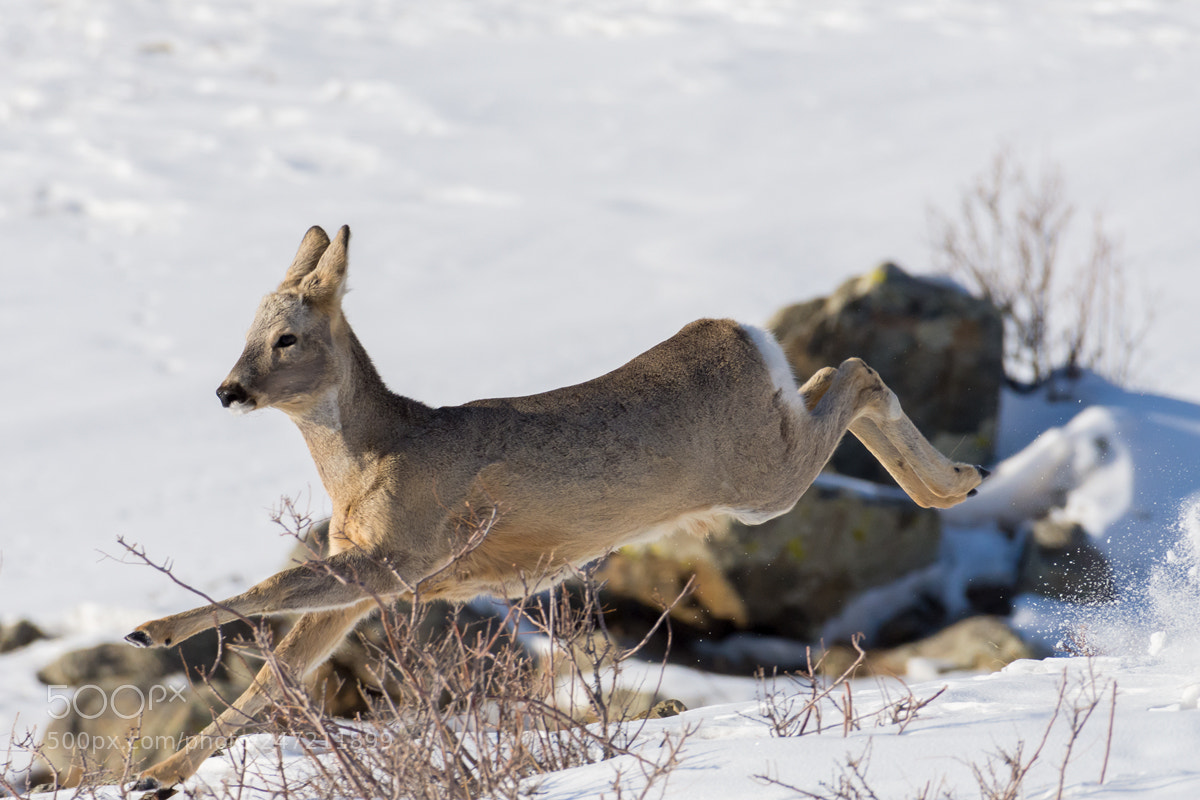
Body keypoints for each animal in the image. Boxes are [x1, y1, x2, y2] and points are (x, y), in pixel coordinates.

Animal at [124, 224, 987, 789]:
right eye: (248, 328)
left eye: (288, 338)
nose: (228, 390)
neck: (371, 458)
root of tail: (739, 332)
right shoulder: (374, 583)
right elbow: (272, 683)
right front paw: (157, 775)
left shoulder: (402, 557)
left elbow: (267, 593)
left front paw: (150, 630)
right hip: (769, 451)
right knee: (834, 378)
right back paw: (960, 477)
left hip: (761, 483)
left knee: (860, 374)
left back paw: (952, 482)